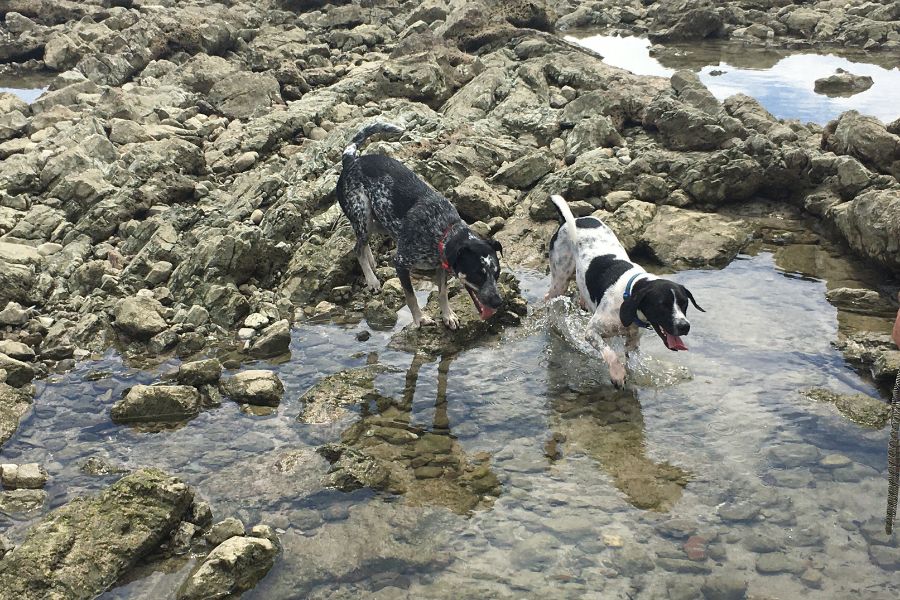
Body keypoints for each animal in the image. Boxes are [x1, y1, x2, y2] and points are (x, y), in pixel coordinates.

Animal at [338, 122, 506, 328]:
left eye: (497, 274)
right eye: (477, 275)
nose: (498, 301)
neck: (443, 230)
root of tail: (351, 160)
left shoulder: (441, 265)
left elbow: (442, 292)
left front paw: (448, 315)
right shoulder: (400, 262)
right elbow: (411, 297)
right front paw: (420, 319)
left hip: (377, 222)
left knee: (365, 239)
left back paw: (370, 260)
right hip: (362, 213)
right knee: (357, 247)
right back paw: (371, 280)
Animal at [548, 195, 704, 386]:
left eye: (684, 304)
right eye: (662, 305)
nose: (684, 326)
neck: (628, 294)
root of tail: (571, 220)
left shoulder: (632, 343)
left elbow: (631, 362)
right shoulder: (591, 332)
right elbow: (610, 353)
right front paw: (617, 373)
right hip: (560, 280)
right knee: (550, 298)